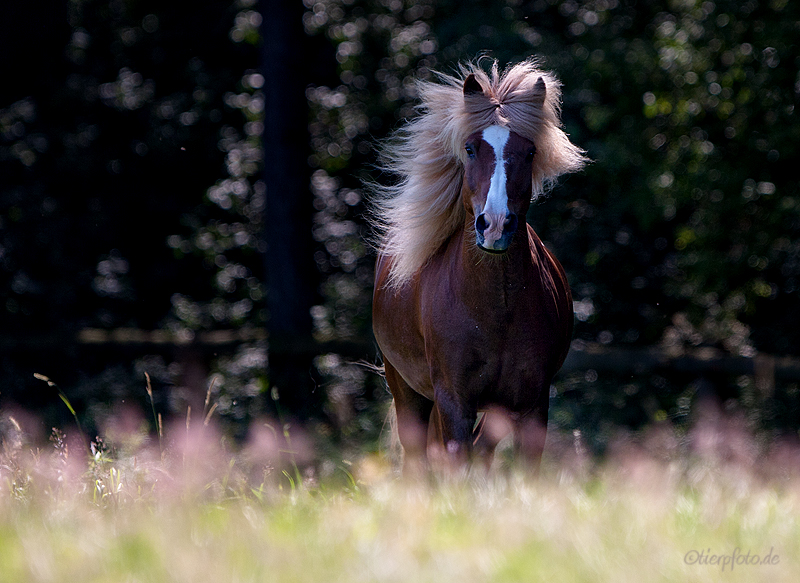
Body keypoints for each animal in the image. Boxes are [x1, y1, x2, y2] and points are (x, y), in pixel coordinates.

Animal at [370, 59, 588, 470]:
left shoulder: (533, 405)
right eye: (470, 149)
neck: (494, 310)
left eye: (530, 152)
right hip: (405, 390)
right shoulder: (454, 402)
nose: (496, 225)